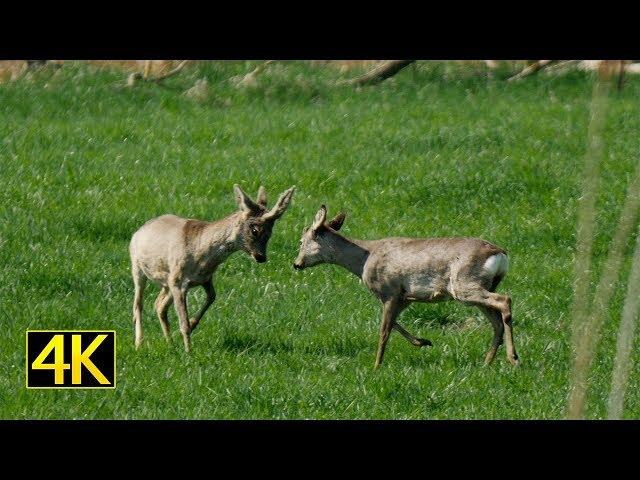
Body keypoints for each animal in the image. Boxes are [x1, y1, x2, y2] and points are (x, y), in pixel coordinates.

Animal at [130, 184, 296, 352]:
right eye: (255, 230)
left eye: (270, 233)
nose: (261, 257)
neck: (201, 255)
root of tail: (138, 231)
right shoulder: (178, 281)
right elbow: (183, 322)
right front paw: (188, 351)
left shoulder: (205, 278)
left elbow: (212, 297)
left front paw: (192, 324)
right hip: (137, 267)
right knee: (138, 305)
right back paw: (139, 343)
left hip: (165, 282)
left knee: (159, 305)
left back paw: (170, 342)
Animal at [296, 205, 520, 368]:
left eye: (300, 241)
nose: (296, 263)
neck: (365, 259)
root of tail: (500, 254)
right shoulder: (405, 297)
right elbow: (393, 323)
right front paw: (423, 342)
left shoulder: (390, 291)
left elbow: (384, 330)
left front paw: (376, 366)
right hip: (481, 287)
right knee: (497, 321)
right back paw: (487, 363)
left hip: (464, 285)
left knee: (505, 300)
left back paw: (513, 358)